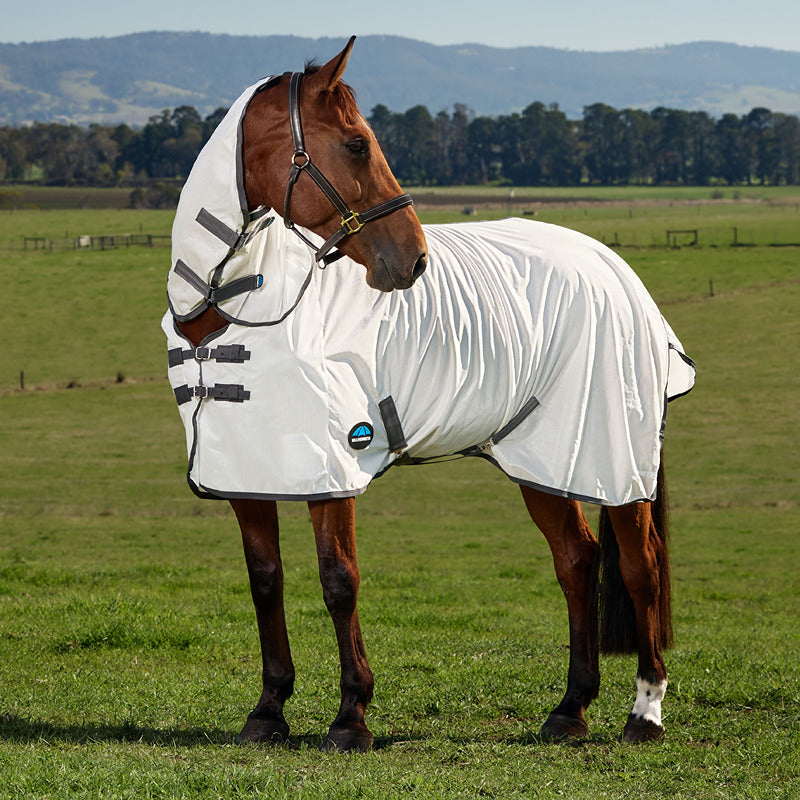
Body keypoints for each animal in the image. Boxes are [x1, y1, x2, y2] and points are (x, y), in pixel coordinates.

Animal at [164, 36, 695, 752]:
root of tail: (612, 265)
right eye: (356, 144)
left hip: (614, 459)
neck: (232, 309)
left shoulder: (332, 467)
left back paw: (645, 712)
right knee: (578, 560)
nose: (413, 259)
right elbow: (265, 581)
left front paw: (351, 715)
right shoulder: (248, 472)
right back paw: (570, 708)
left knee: (641, 568)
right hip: (544, 457)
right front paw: (269, 709)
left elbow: (339, 580)